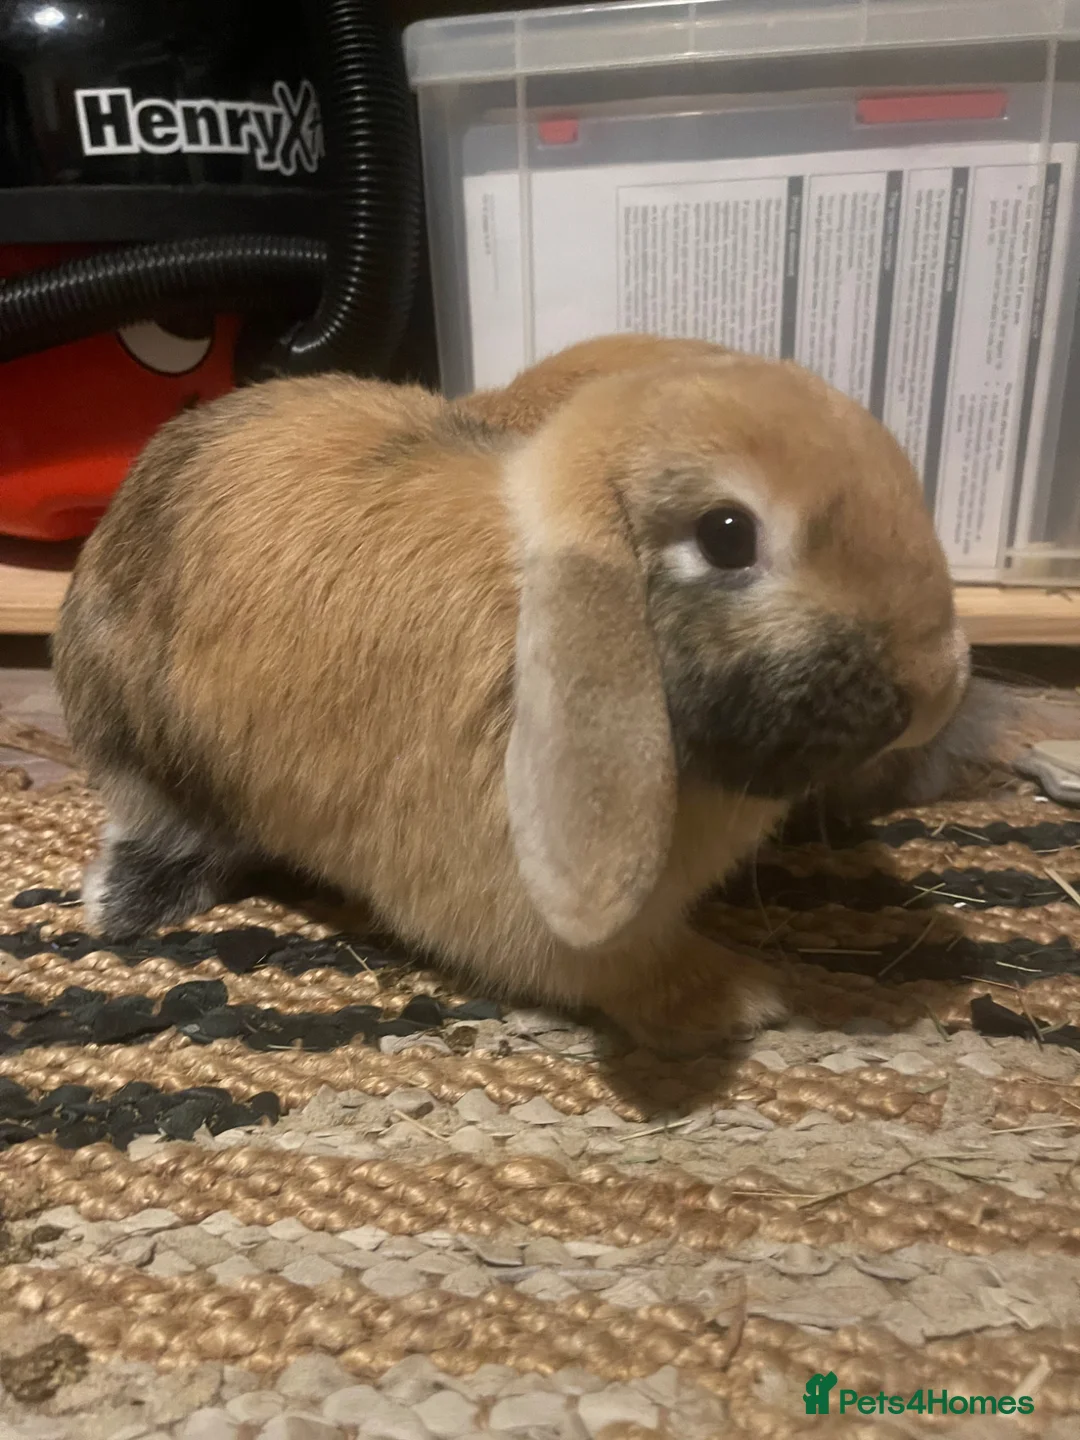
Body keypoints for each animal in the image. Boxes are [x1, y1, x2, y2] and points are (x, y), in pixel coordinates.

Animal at [53, 338, 970, 1052]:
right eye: (727, 534)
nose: (935, 689)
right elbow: (614, 964)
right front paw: (745, 998)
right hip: (140, 746)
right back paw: (126, 904)